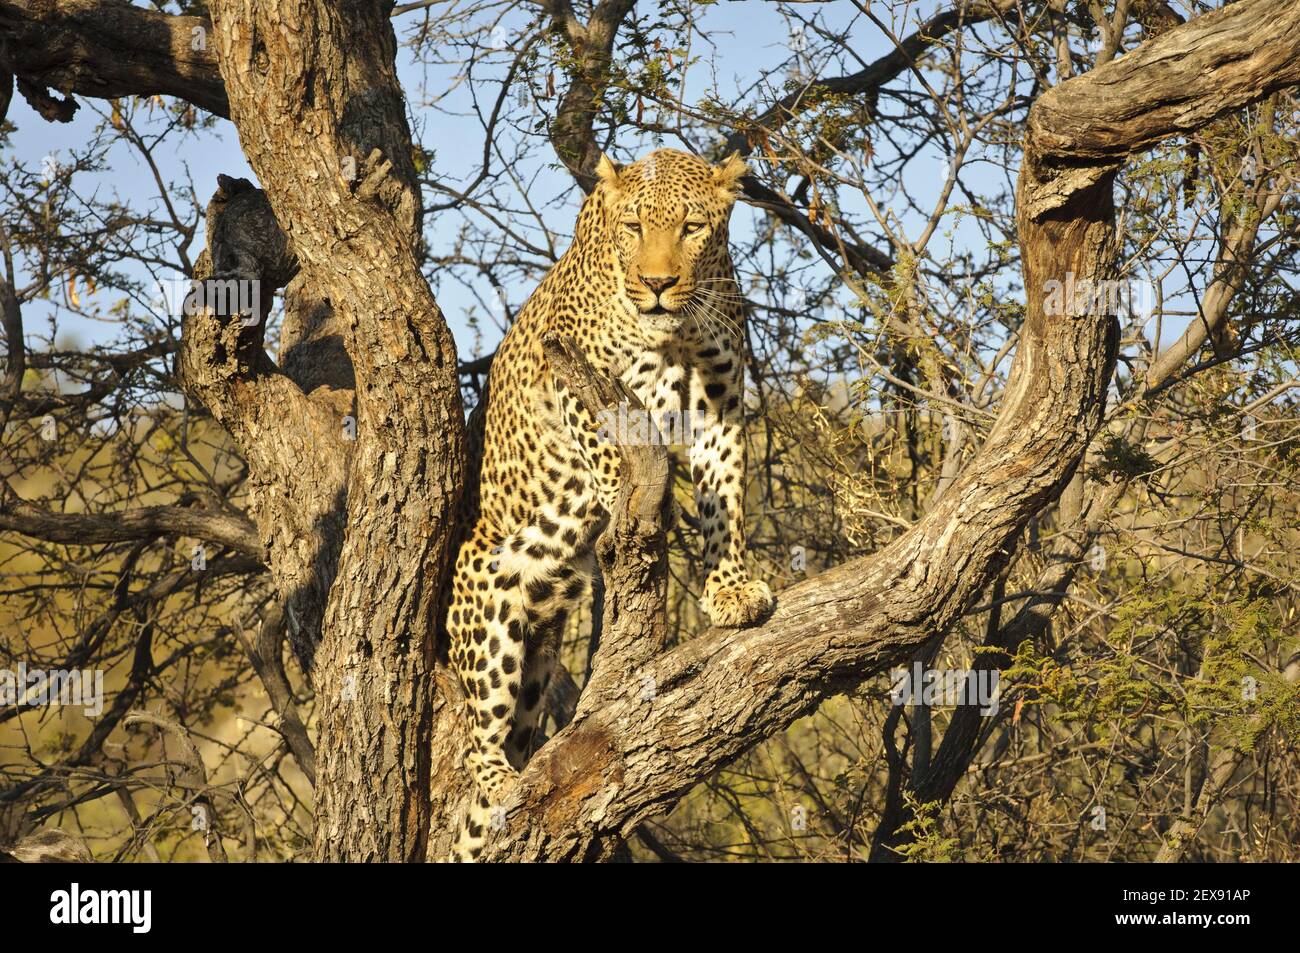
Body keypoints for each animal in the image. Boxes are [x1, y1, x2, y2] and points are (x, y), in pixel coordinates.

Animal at [447, 146, 769, 852]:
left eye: (693, 228)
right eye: (633, 228)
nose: (657, 284)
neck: (676, 336)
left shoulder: (722, 406)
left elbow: (726, 496)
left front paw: (731, 587)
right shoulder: (571, 372)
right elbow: (602, 447)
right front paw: (622, 489)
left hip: (538, 663)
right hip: (487, 619)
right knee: (477, 741)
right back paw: (503, 780)